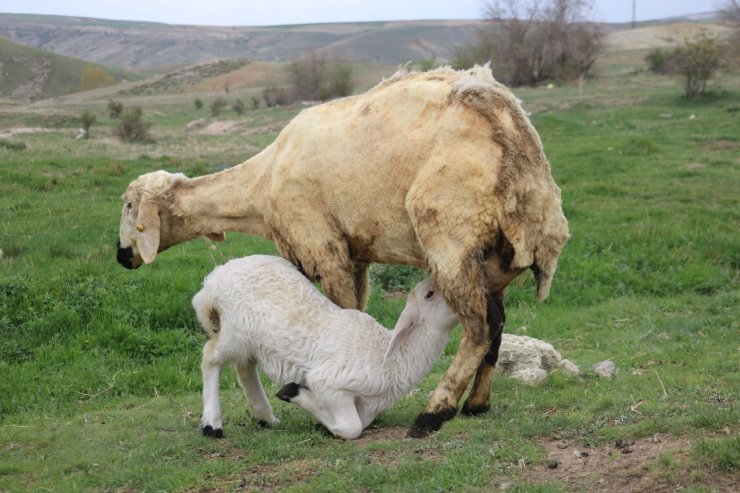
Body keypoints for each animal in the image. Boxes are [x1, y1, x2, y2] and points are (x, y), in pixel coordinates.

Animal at [191, 254, 456, 438]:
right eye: (430, 294)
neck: (391, 357)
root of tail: (214, 280)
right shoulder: (330, 382)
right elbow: (351, 428)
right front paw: (294, 392)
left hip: (249, 341)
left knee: (245, 367)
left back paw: (265, 417)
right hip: (235, 331)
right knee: (210, 356)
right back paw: (212, 425)